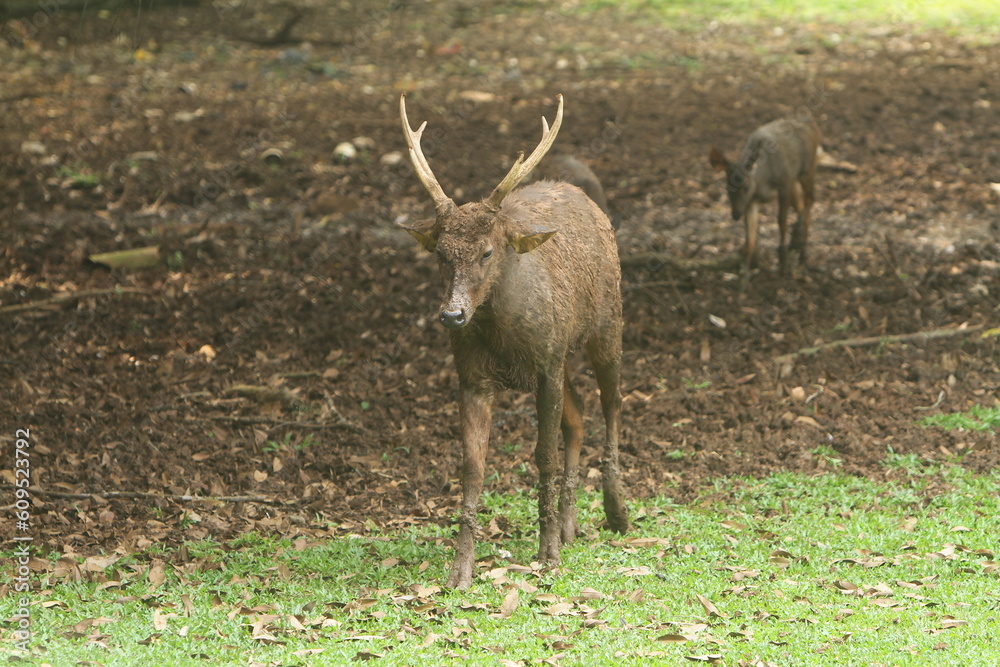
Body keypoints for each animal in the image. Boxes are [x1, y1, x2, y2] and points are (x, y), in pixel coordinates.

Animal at [397, 93, 630, 589]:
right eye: (440, 254)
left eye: (488, 251)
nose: (452, 315)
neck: (503, 335)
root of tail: (586, 198)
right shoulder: (473, 377)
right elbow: (472, 468)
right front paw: (460, 571)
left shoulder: (545, 366)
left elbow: (542, 455)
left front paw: (548, 557)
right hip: (564, 355)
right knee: (579, 415)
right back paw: (570, 526)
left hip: (607, 322)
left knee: (612, 402)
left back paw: (616, 511)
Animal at [709, 116, 821, 285]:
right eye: (727, 187)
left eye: (746, 187)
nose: (735, 214)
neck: (763, 184)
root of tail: (812, 122)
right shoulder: (752, 202)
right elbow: (750, 239)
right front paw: (744, 279)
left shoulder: (784, 184)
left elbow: (781, 221)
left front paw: (783, 266)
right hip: (795, 182)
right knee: (804, 208)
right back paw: (801, 257)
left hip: (807, 169)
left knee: (811, 199)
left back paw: (796, 244)